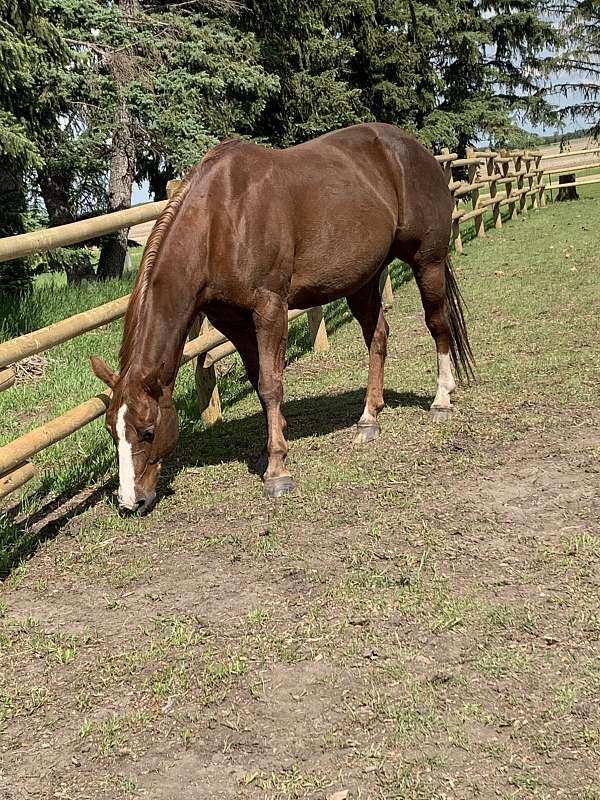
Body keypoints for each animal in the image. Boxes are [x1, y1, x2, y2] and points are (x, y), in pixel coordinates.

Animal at [91, 122, 474, 514]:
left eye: (148, 431)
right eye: (111, 432)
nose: (129, 502)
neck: (221, 219)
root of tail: (418, 151)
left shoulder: (270, 309)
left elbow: (271, 384)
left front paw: (277, 470)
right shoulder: (234, 322)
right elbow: (259, 380)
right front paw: (273, 447)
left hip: (427, 262)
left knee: (438, 324)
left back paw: (441, 400)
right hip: (363, 280)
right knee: (378, 337)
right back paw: (369, 418)